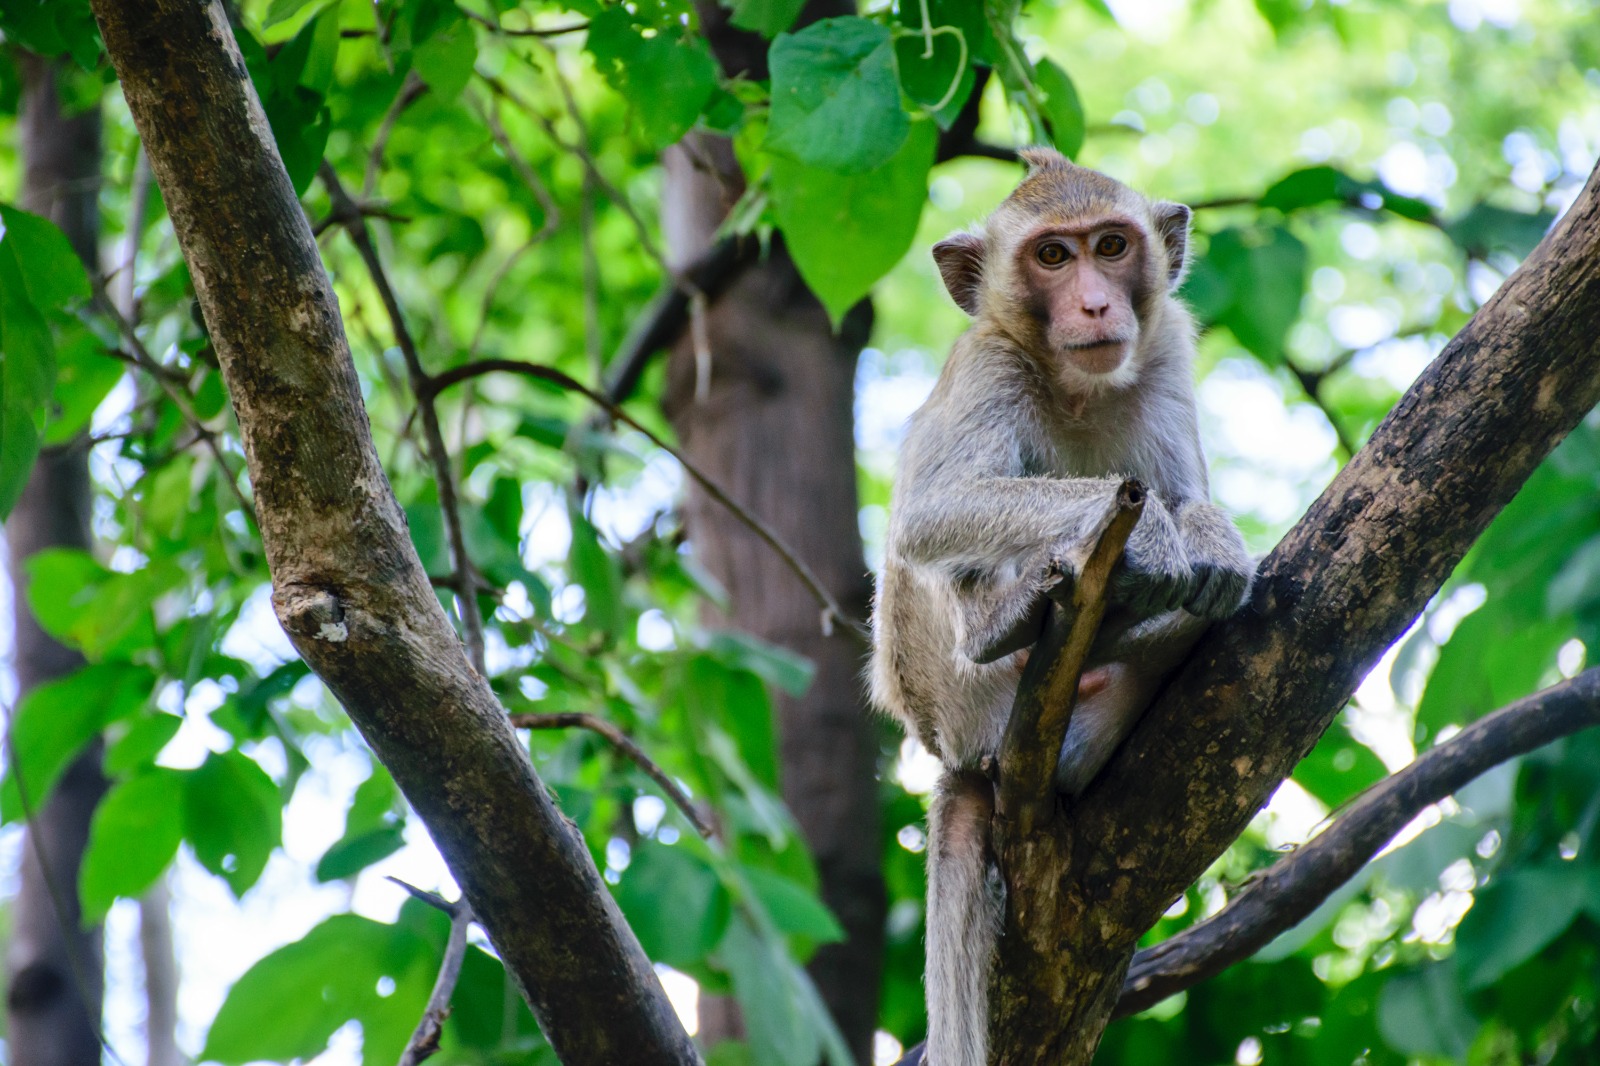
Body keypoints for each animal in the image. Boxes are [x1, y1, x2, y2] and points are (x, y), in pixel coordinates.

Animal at [870, 149, 1254, 1062]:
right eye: (1052, 257)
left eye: (1111, 246)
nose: (1094, 303)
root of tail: (950, 749)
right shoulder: (987, 364)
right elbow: (931, 511)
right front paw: (1156, 534)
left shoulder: (1167, 349)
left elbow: (1189, 497)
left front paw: (1209, 537)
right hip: (960, 691)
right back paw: (1007, 618)